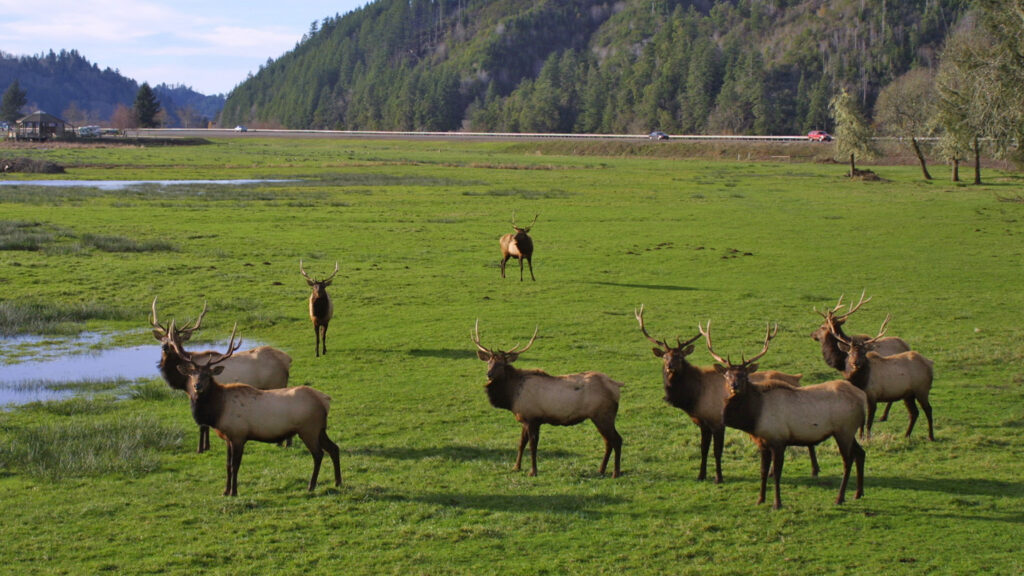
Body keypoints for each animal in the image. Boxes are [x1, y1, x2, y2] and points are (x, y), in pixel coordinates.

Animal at [150, 297, 292, 453]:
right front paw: (207, 446)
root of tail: (287, 361)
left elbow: (203, 425)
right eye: (163, 339)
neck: (182, 380)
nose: (165, 347)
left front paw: (201, 448)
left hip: (275, 384)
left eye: (176, 340)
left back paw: (284, 443)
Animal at [169, 325, 341, 496]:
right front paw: (225, 491)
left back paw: (311, 486)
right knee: (334, 448)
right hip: (320, 429)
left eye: (207, 375)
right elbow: (227, 465)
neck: (217, 411)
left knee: (318, 454)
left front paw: (234, 492)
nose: (197, 386)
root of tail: (325, 400)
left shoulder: (239, 435)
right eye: (192, 374)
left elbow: (235, 465)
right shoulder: (228, 438)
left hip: (308, 429)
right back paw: (337, 482)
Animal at [472, 320, 624, 477]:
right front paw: (516, 467)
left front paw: (533, 471)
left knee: (617, 440)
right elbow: (521, 444)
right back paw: (601, 470)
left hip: (603, 415)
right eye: (488, 362)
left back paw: (615, 472)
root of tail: (616, 385)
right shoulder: (525, 419)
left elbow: (532, 446)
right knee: (608, 441)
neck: (511, 396)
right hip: (599, 417)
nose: (489, 374)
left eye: (502, 364)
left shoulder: (533, 419)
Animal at [635, 305, 815, 484]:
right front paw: (701, 475)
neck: (695, 397)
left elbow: (717, 451)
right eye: (665, 357)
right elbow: (703, 449)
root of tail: (797, 378)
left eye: (679, 356)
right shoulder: (703, 422)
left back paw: (813, 470)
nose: (670, 367)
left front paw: (718, 477)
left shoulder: (717, 421)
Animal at [702, 321, 867, 509]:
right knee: (860, 453)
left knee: (848, 460)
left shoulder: (778, 440)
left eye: (744, 375)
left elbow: (777, 473)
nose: (734, 386)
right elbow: (763, 471)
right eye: (727, 375)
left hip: (844, 430)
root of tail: (862, 399)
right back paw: (858, 493)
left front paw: (777, 503)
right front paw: (760, 499)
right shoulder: (763, 442)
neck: (754, 418)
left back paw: (840, 497)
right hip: (849, 431)